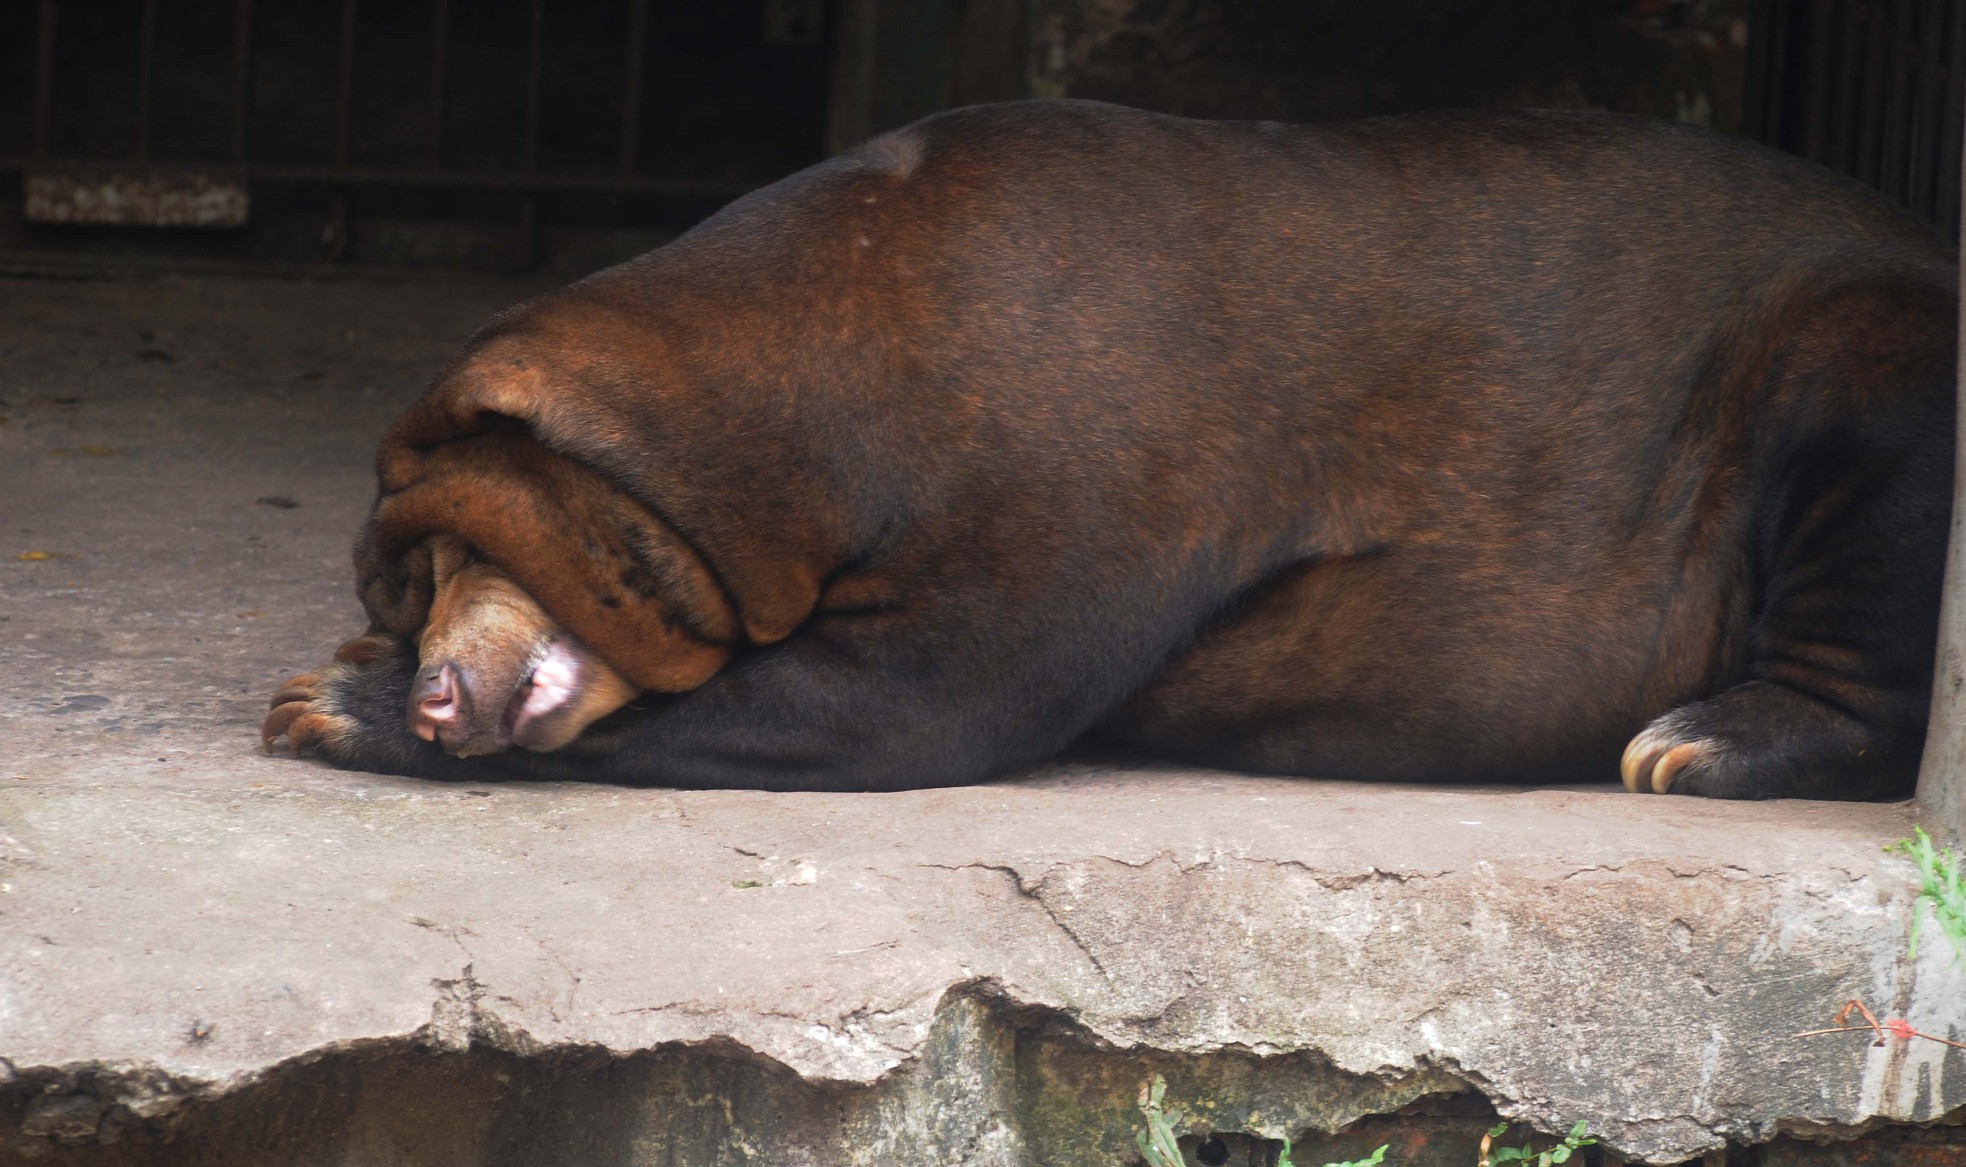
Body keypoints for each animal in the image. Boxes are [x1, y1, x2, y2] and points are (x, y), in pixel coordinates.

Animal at [257, 100, 1950, 793]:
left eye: (444, 559)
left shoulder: (1066, 464)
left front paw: (325, 702)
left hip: (1858, 351)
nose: (436, 679)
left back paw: (1700, 739)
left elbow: (903, 697)